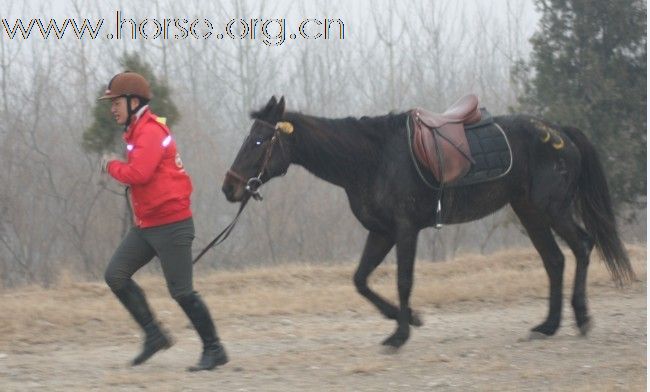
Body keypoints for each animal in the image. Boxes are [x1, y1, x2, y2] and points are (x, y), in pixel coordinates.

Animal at [221, 96, 632, 348]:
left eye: (258, 141)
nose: (230, 187)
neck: (371, 158)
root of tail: (560, 132)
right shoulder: (381, 232)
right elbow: (361, 280)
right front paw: (408, 320)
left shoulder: (405, 230)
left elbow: (403, 281)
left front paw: (400, 334)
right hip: (530, 212)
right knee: (555, 260)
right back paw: (548, 325)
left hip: (553, 208)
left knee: (581, 246)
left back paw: (581, 317)